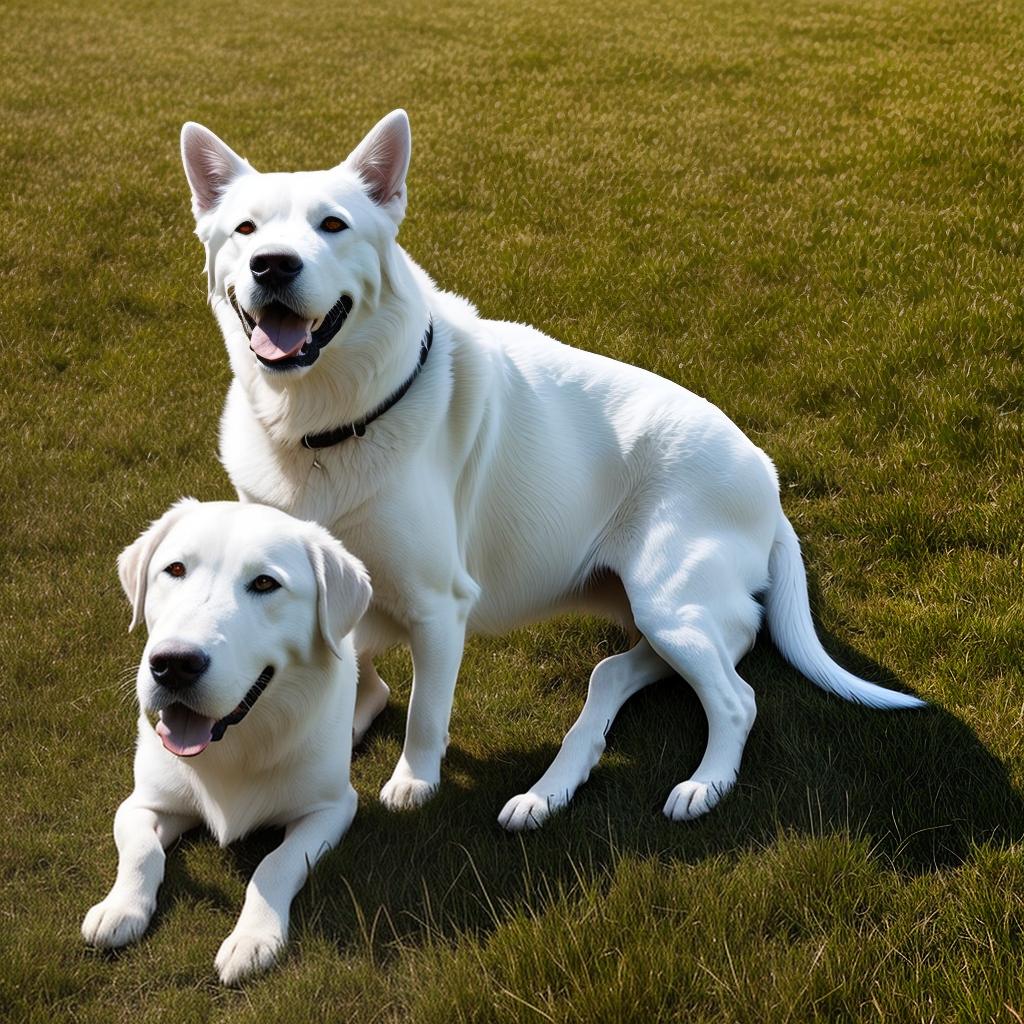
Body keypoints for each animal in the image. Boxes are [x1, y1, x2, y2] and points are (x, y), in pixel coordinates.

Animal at [82, 499, 372, 978]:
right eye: (175, 569)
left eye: (265, 583)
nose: (174, 664)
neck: (233, 742)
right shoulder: (144, 802)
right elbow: (142, 850)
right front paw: (120, 908)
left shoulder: (331, 809)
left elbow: (275, 863)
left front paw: (253, 937)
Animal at [180, 110, 925, 831]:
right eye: (245, 229)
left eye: (333, 225)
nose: (273, 265)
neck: (322, 424)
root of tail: (770, 486)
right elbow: (354, 670)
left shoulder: (437, 604)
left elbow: (424, 711)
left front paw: (413, 781)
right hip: (657, 614)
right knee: (619, 673)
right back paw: (553, 787)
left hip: (668, 599)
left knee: (736, 698)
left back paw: (703, 784)